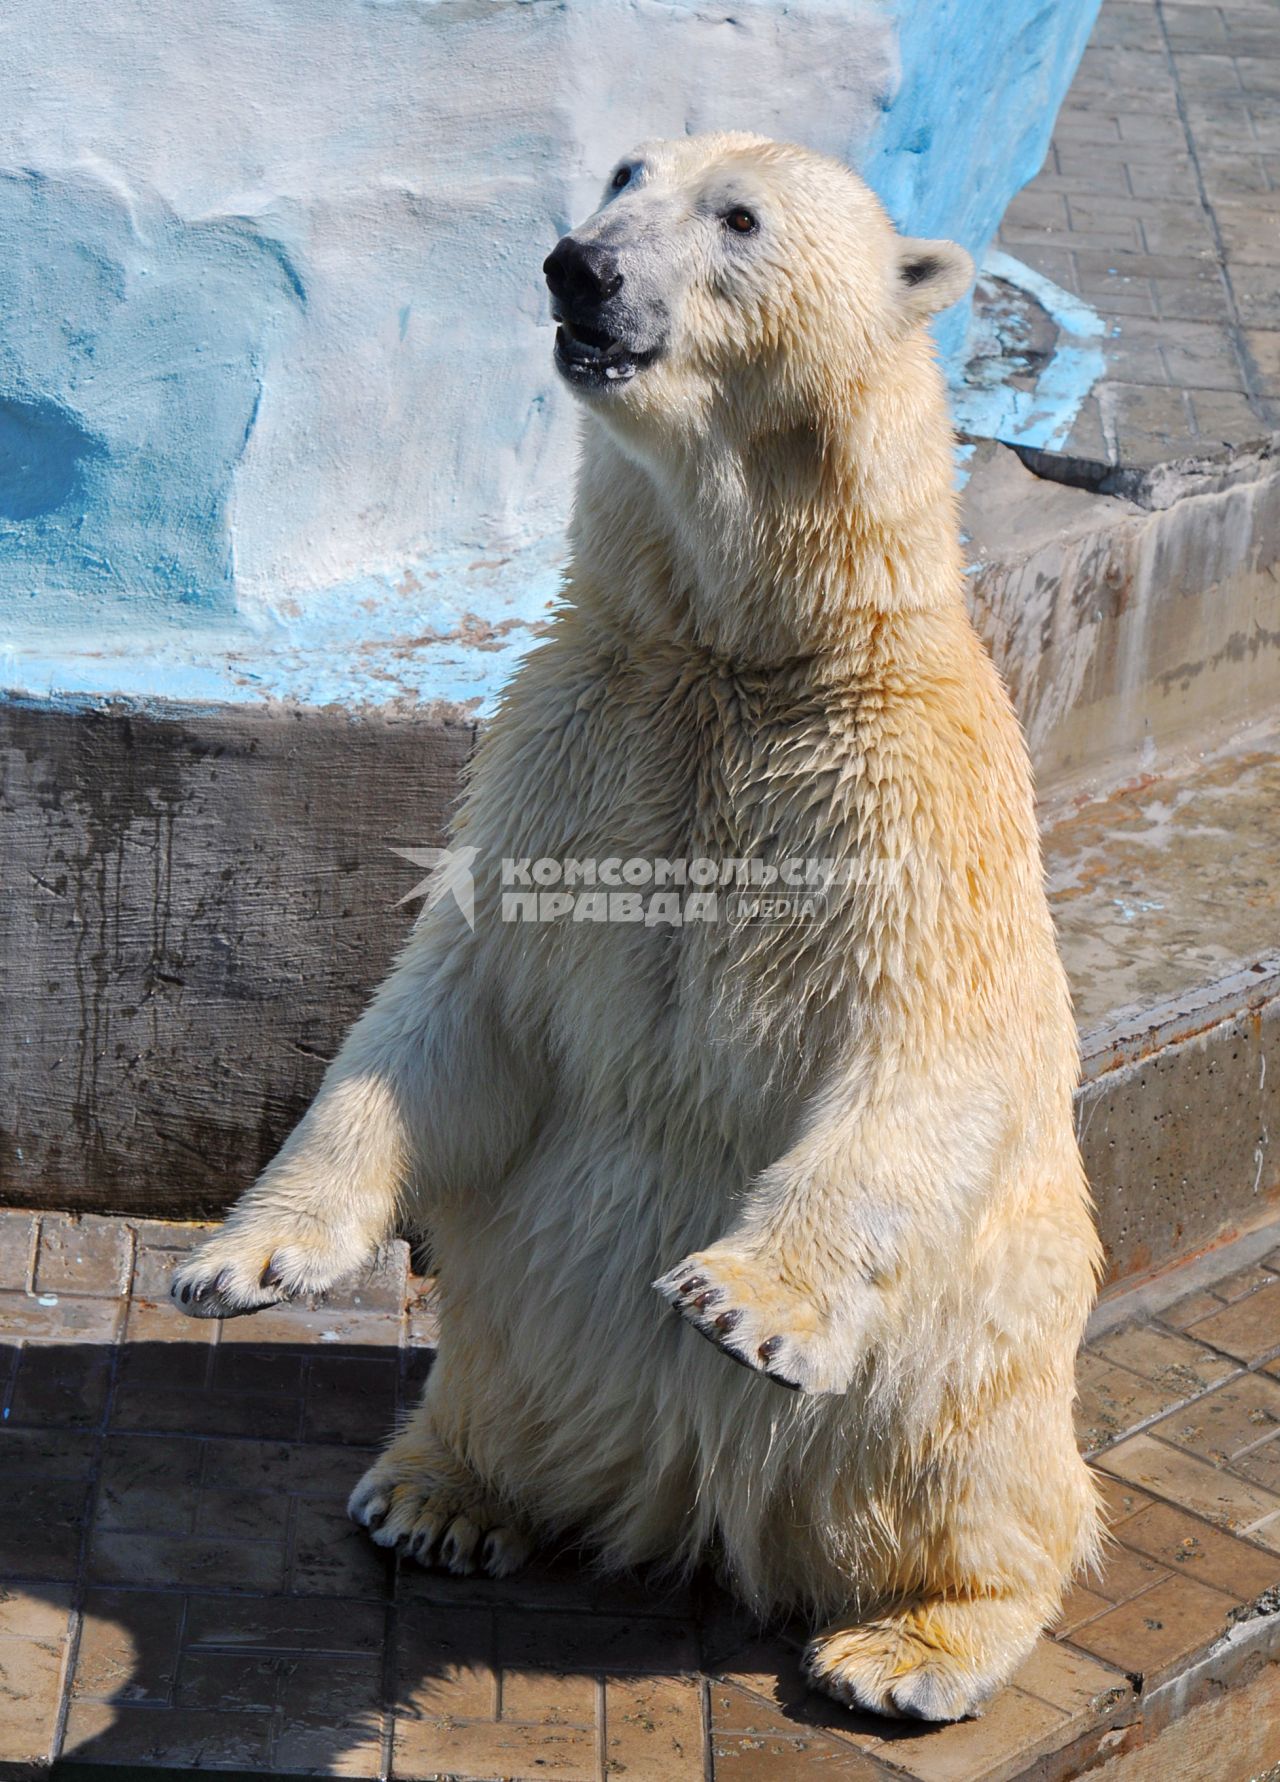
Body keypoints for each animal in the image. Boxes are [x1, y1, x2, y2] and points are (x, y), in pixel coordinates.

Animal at [175, 131, 1105, 1717]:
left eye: (737, 216)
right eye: (623, 173)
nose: (579, 267)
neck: (744, 649)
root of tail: (696, 1505)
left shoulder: (906, 804)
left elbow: (928, 1040)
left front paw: (741, 1306)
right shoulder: (579, 743)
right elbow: (447, 1005)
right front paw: (247, 1259)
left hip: (968, 1346)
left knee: (968, 1469)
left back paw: (909, 1647)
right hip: (530, 1308)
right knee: (496, 1373)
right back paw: (438, 1492)